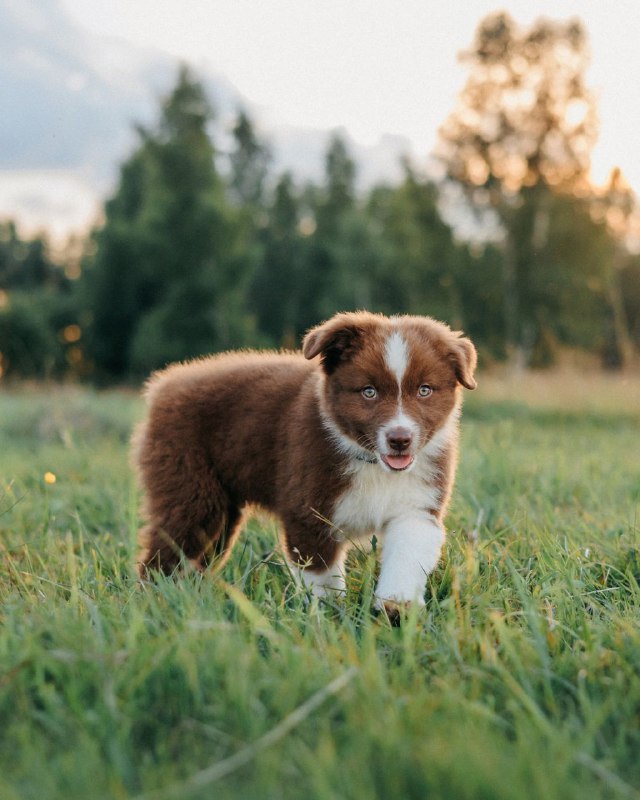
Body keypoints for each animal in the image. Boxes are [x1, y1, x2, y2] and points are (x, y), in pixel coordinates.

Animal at [134, 310, 476, 608]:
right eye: (369, 392)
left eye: (424, 390)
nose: (400, 440)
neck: (371, 463)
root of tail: (165, 384)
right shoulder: (308, 512)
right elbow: (321, 577)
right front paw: (328, 618)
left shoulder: (417, 505)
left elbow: (407, 555)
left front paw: (396, 610)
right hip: (190, 490)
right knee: (167, 552)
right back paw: (156, 603)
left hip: (221, 510)